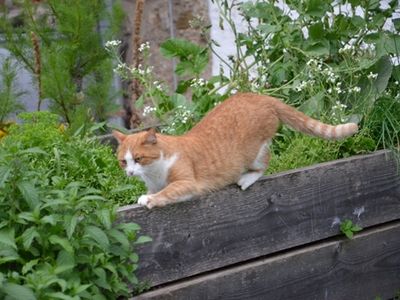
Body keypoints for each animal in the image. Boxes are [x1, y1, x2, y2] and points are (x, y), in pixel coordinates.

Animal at [113, 93, 360, 209]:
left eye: (139, 158)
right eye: (124, 162)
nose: (129, 173)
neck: (154, 172)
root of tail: (260, 96)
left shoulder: (188, 183)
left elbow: (168, 192)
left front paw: (150, 199)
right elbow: (156, 190)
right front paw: (147, 194)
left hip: (253, 152)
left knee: (265, 162)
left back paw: (246, 179)